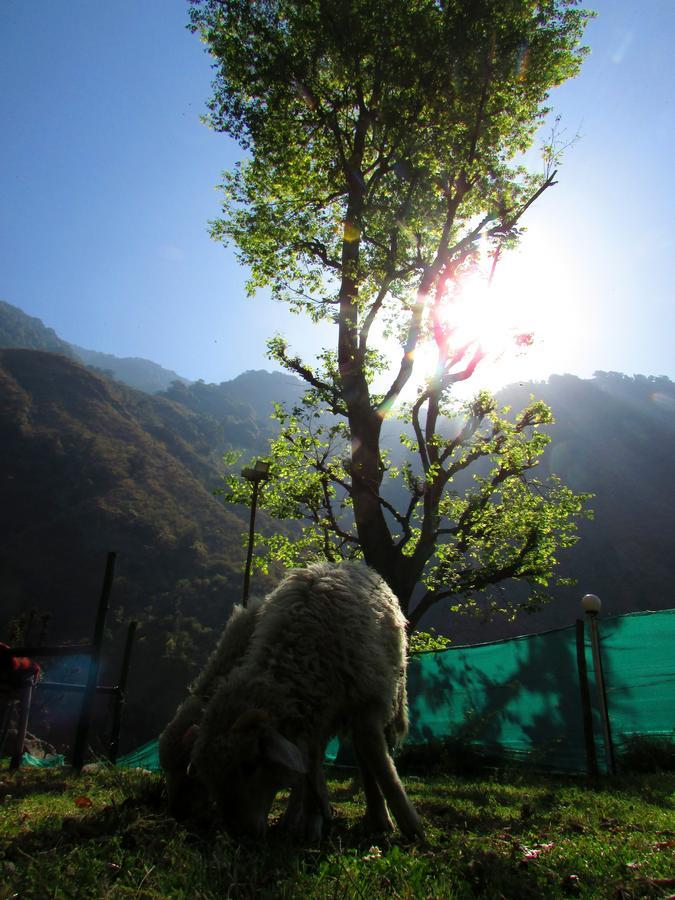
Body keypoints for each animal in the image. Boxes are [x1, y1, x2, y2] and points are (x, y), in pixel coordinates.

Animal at [189, 564, 422, 844]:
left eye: (250, 765)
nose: (241, 834)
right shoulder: (312, 719)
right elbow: (310, 766)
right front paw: (312, 821)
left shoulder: (365, 703)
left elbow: (378, 761)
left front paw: (409, 824)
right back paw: (299, 817)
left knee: (366, 755)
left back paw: (376, 814)